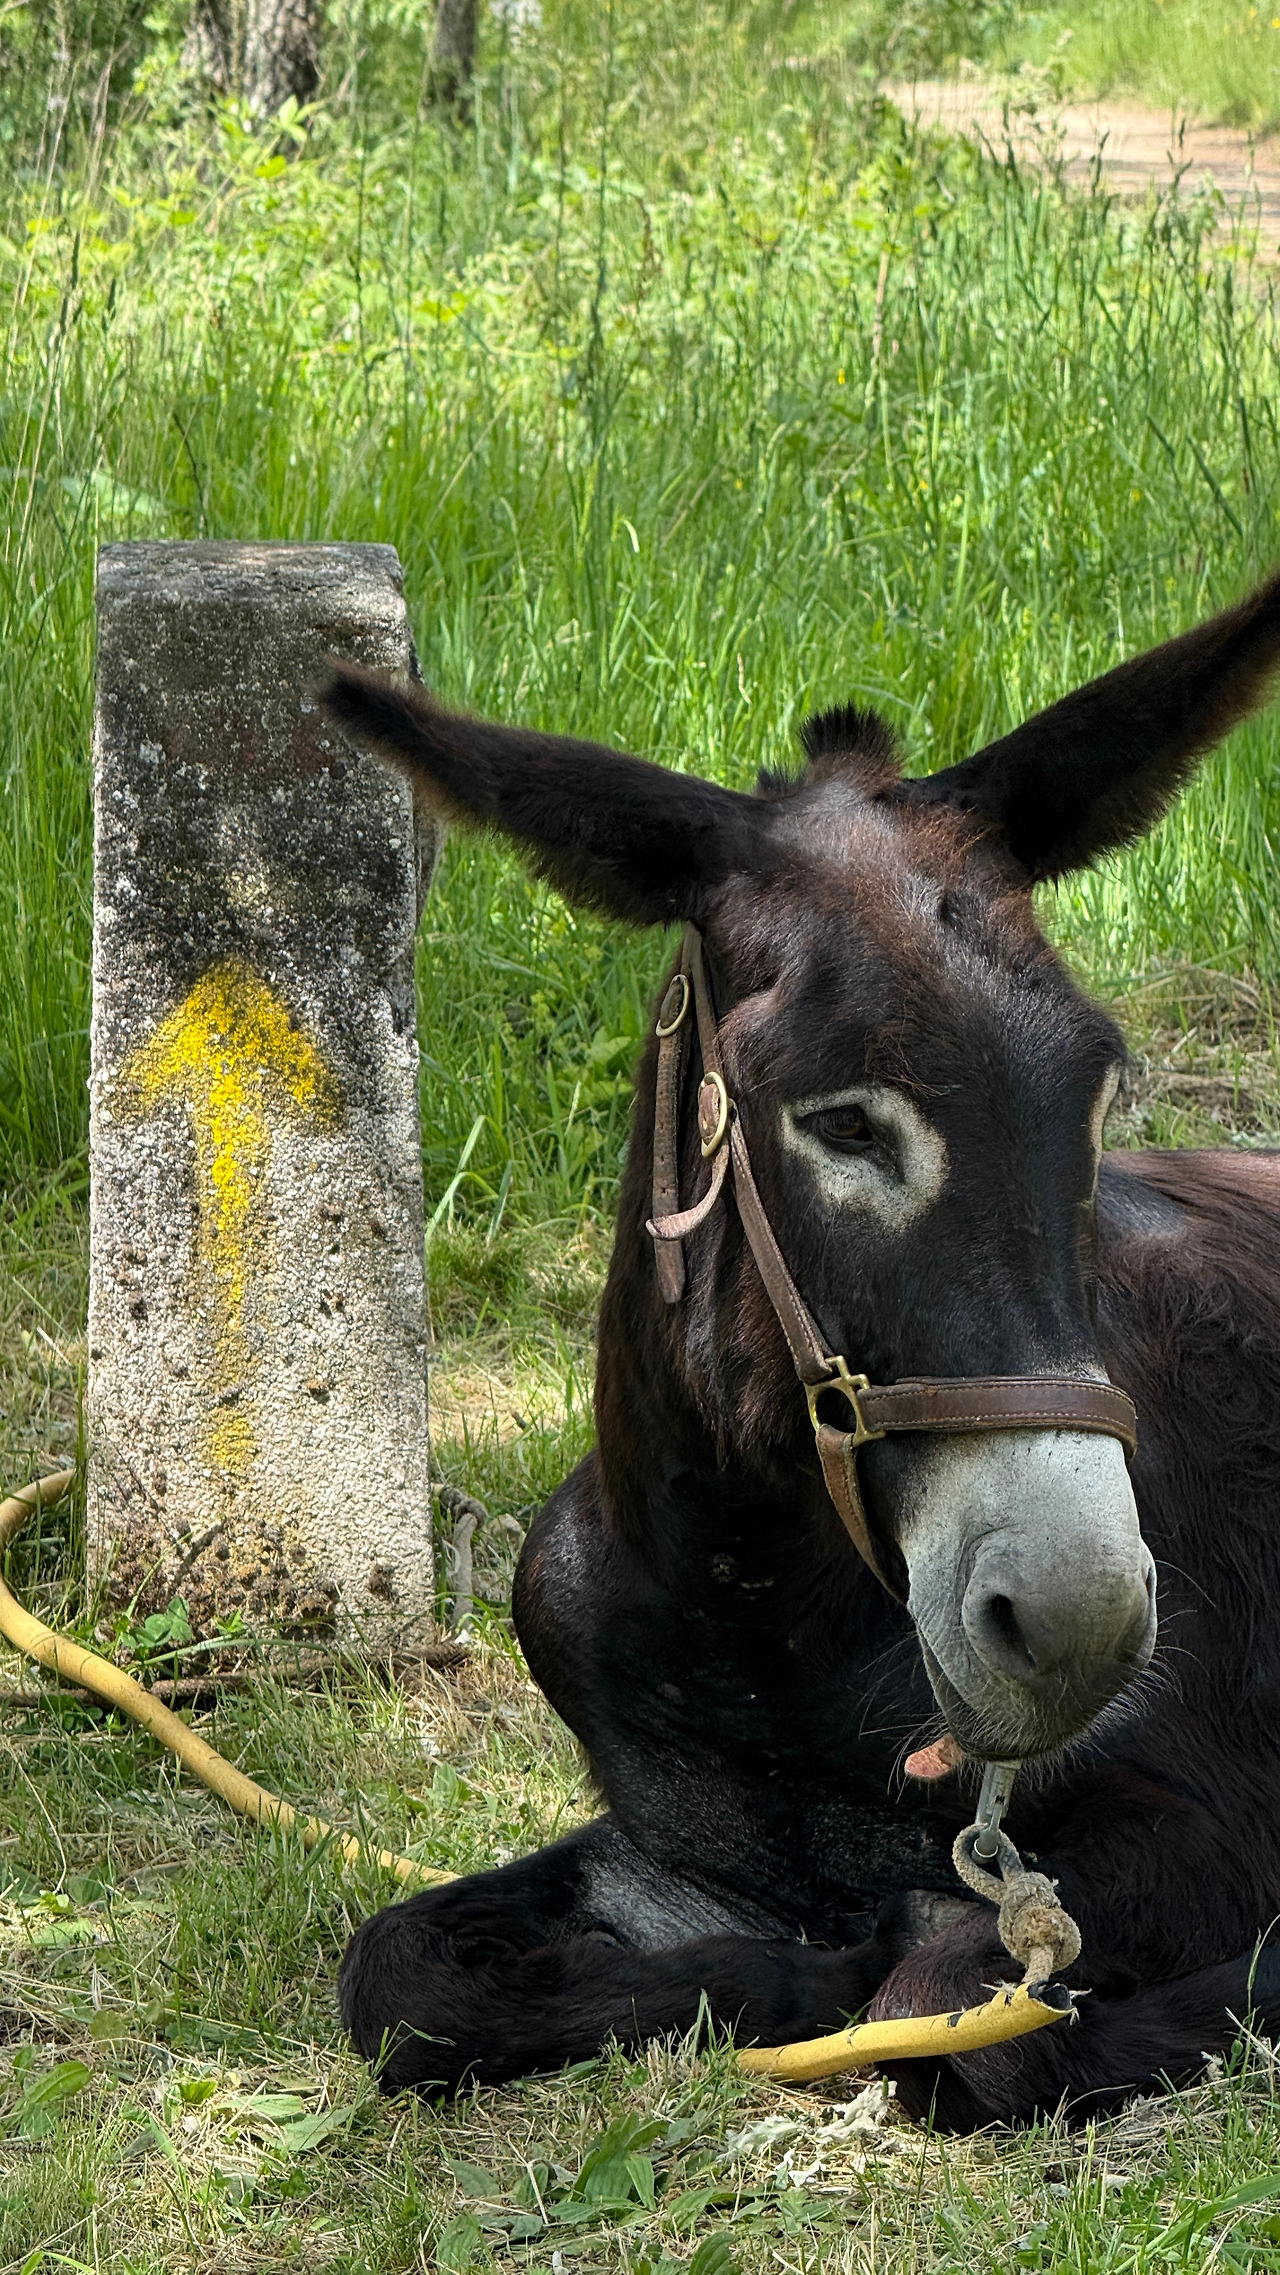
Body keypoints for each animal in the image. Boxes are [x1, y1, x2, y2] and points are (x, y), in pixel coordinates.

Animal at [320, 565, 1280, 2129]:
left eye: (1093, 1090)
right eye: (838, 1123)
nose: (1080, 1622)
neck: (757, 1606)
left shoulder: (1202, 1820)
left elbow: (948, 2019)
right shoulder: (678, 1841)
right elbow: (403, 1976)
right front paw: (778, 1975)